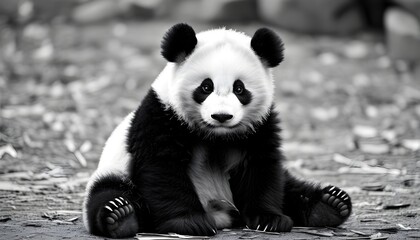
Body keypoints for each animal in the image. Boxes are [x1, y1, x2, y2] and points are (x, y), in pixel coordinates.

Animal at [81, 23, 352, 238]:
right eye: (206, 86)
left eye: (240, 88)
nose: (222, 116)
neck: (216, 135)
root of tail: (222, 217)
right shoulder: (161, 114)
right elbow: (162, 168)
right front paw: (189, 222)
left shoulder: (260, 126)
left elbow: (262, 167)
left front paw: (268, 219)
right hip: (116, 170)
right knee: (109, 191)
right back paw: (120, 216)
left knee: (290, 186)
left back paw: (329, 205)